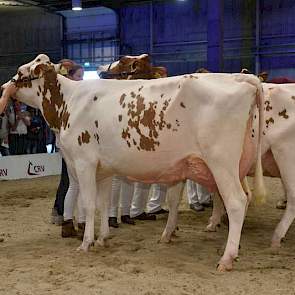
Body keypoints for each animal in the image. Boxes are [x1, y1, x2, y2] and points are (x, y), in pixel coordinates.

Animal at [0, 54, 268, 272]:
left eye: (21, 73)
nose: (4, 86)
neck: (69, 103)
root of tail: (240, 78)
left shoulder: (84, 162)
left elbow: (88, 204)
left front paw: (86, 243)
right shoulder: (103, 169)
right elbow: (103, 203)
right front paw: (102, 239)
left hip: (221, 162)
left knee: (236, 201)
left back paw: (227, 258)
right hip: (235, 165)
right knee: (243, 197)